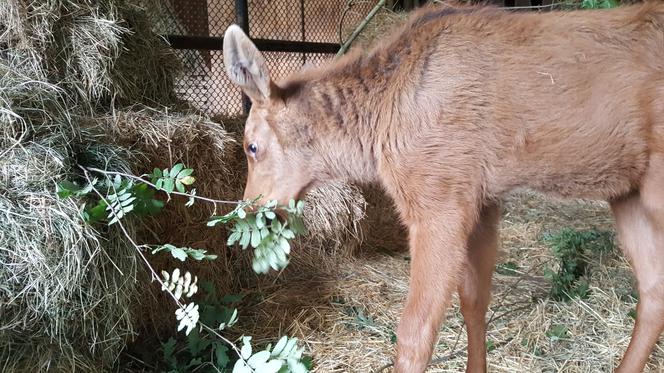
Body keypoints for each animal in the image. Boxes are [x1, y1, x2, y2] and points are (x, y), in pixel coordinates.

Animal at [223, 2, 664, 372]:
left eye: (251, 146)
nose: (249, 209)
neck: (377, 128)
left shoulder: (438, 201)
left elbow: (414, 334)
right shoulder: (482, 200)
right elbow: (473, 301)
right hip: (626, 193)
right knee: (653, 288)